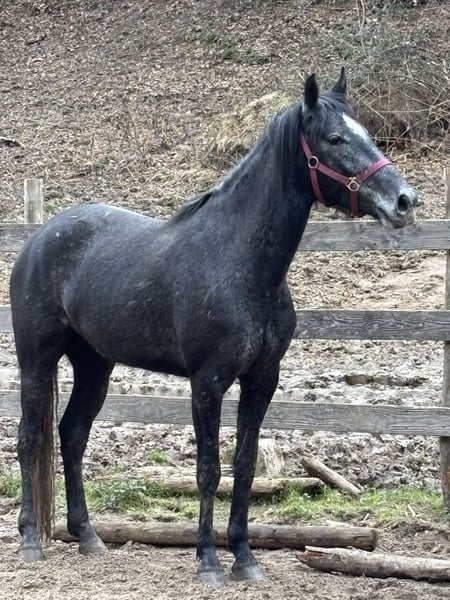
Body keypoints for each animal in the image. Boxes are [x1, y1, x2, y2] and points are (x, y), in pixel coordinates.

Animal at [10, 69, 417, 586]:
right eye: (334, 138)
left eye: (366, 132)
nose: (404, 201)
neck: (240, 264)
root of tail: (39, 238)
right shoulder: (207, 382)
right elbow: (208, 469)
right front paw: (208, 559)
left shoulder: (262, 380)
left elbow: (243, 465)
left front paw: (244, 557)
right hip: (36, 360)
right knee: (30, 438)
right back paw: (30, 540)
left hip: (94, 366)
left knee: (72, 435)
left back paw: (88, 537)